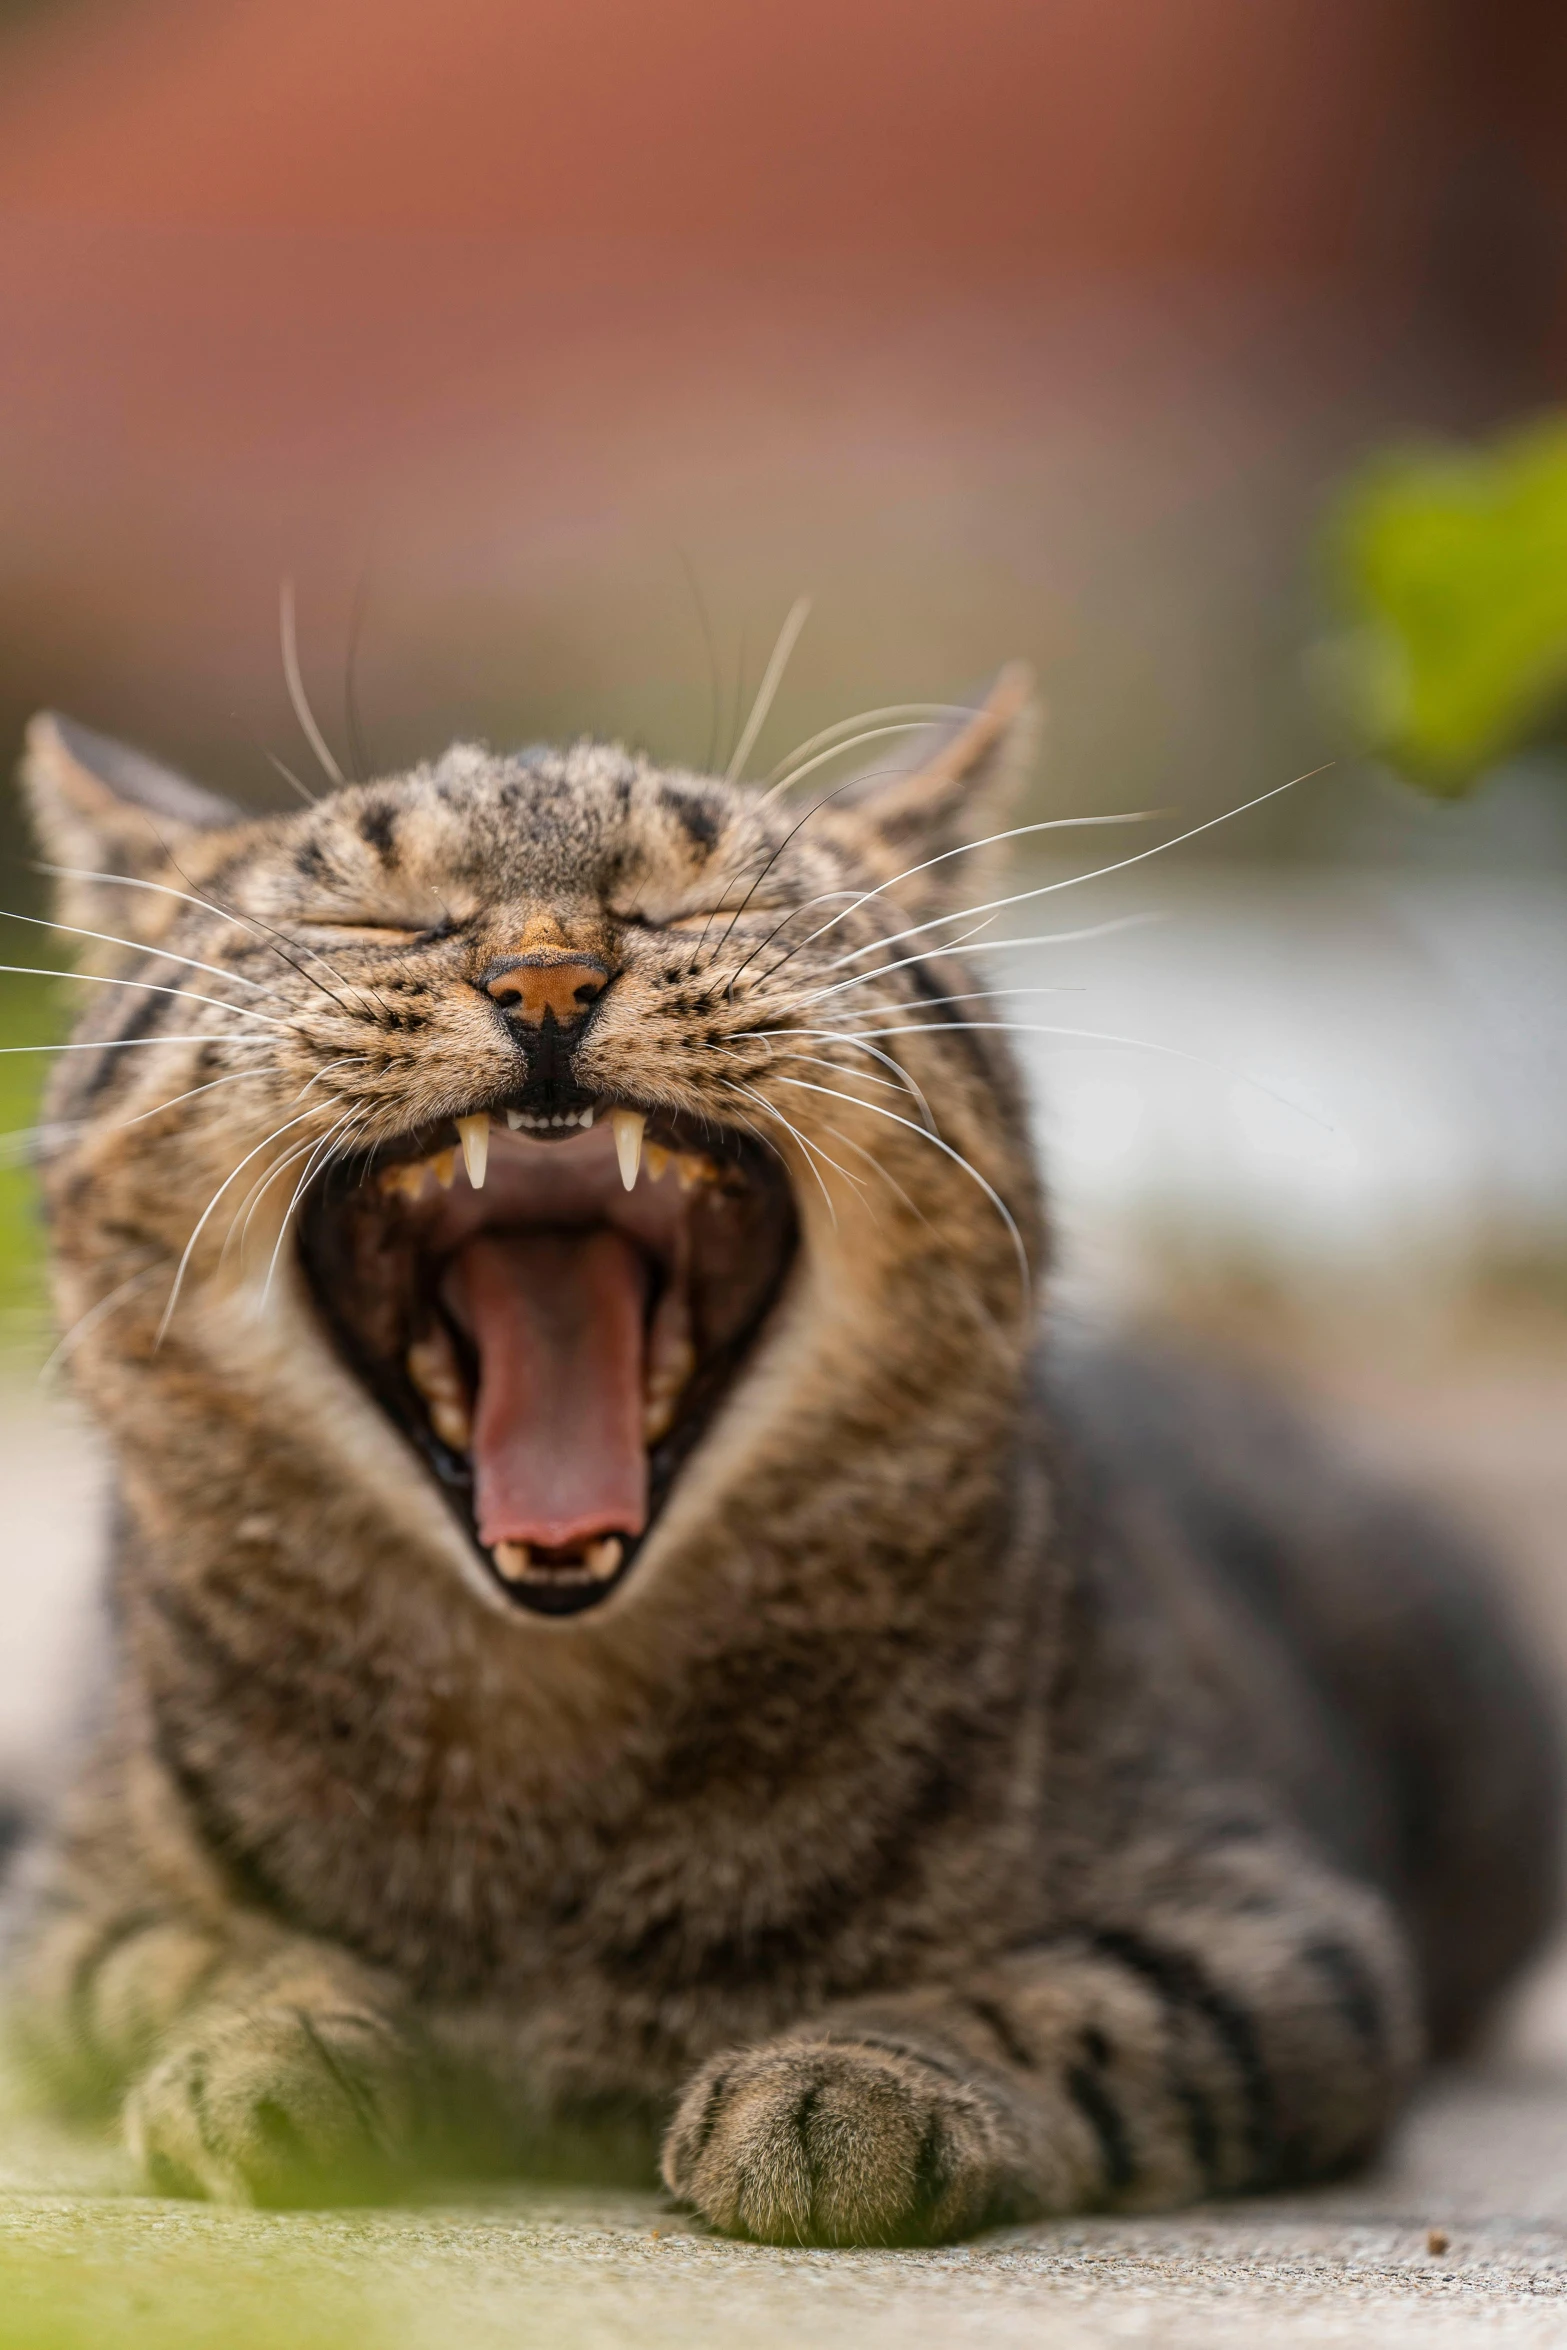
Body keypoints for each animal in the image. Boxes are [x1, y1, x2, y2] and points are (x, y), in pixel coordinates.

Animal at [0, 681, 1559, 2237]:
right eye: (373, 920)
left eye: (700, 902)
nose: (545, 982)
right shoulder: (67, 1908)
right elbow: (189, 1955)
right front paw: (285, 2039)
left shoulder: (1272, 1927)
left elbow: (1064, 2005)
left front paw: (854, 2081)